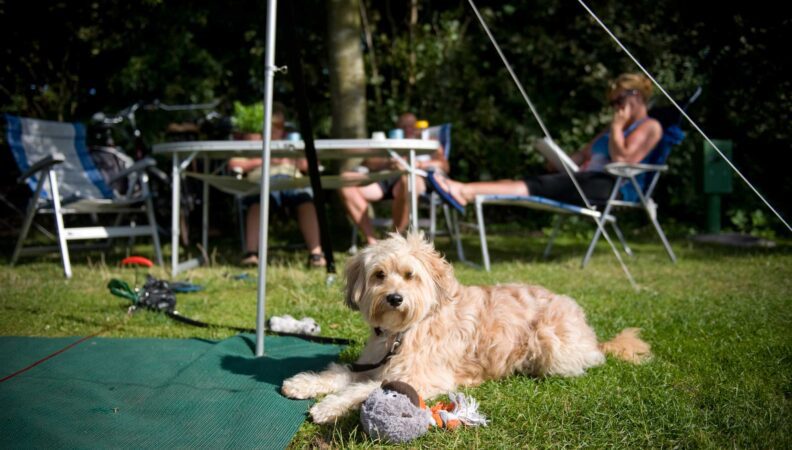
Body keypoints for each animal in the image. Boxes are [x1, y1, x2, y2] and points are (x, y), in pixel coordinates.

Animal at [282, 234, 648, 424]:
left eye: (410, 275)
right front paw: (304, 384)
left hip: (550, 344)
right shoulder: (372, 362)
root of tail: (594, 338)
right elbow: (341, 372)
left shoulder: (419, 376)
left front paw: (328, 407)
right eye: (379, 274)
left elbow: (362, 389)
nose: (395, 298)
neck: (404, 331)